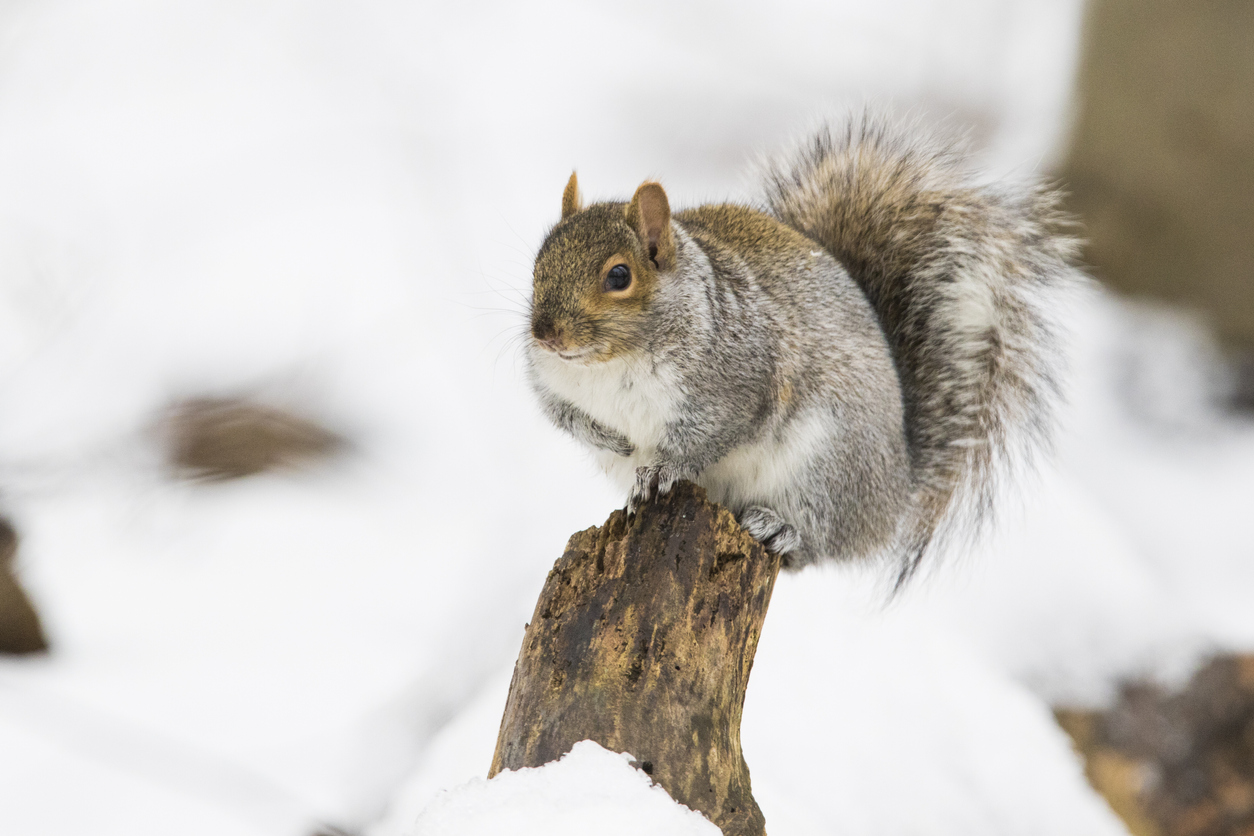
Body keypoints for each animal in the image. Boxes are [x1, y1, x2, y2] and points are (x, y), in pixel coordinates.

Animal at [525, 115, 1078, 584]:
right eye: (539, 260)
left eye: (619, 276)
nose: (544, 333)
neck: (610, 362)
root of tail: (896, 492)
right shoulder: (551, 386)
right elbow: (560, 416)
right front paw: (605, 437)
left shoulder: (738, 384)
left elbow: (707, 438)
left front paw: (663, 466)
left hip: (826, 467)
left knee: (815, 544)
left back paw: (780, 528)